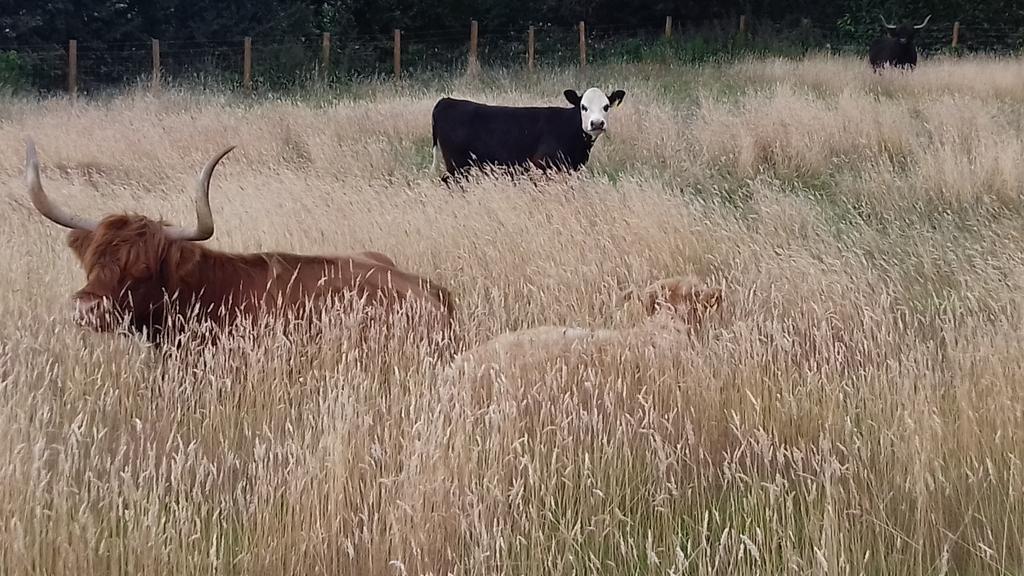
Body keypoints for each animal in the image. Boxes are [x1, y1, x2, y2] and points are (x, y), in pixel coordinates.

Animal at [430, 87, 626, 180]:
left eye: (606, 106)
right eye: (583, 107)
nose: (597, 123)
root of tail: (446, 101)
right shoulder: (543, 164)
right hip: (457, 165)